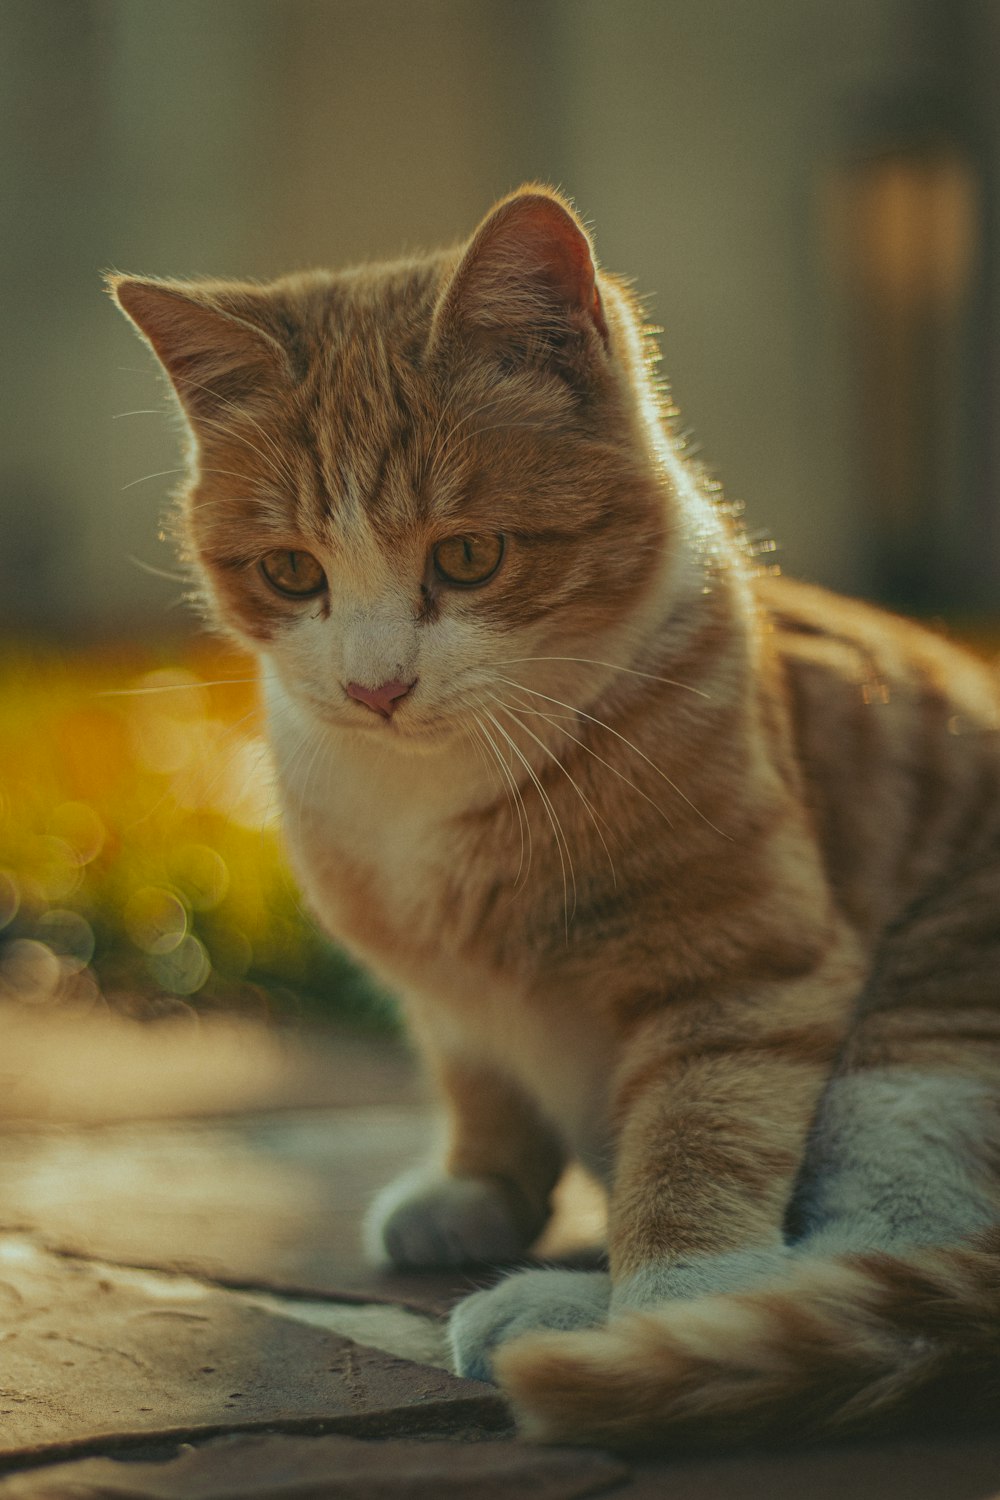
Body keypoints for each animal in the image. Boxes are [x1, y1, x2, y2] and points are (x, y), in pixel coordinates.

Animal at [109, 181, 1000, 1446]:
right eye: (291, 573)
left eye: (469, 557)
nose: (375, 687)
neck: (432, 793)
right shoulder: (442, 991)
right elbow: (477, 1075)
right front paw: (478, 1186)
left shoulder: (741, 964)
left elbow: (695, 1143)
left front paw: (654, 1310)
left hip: (926, 1032)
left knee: (878, 1248)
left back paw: (562, 1313)